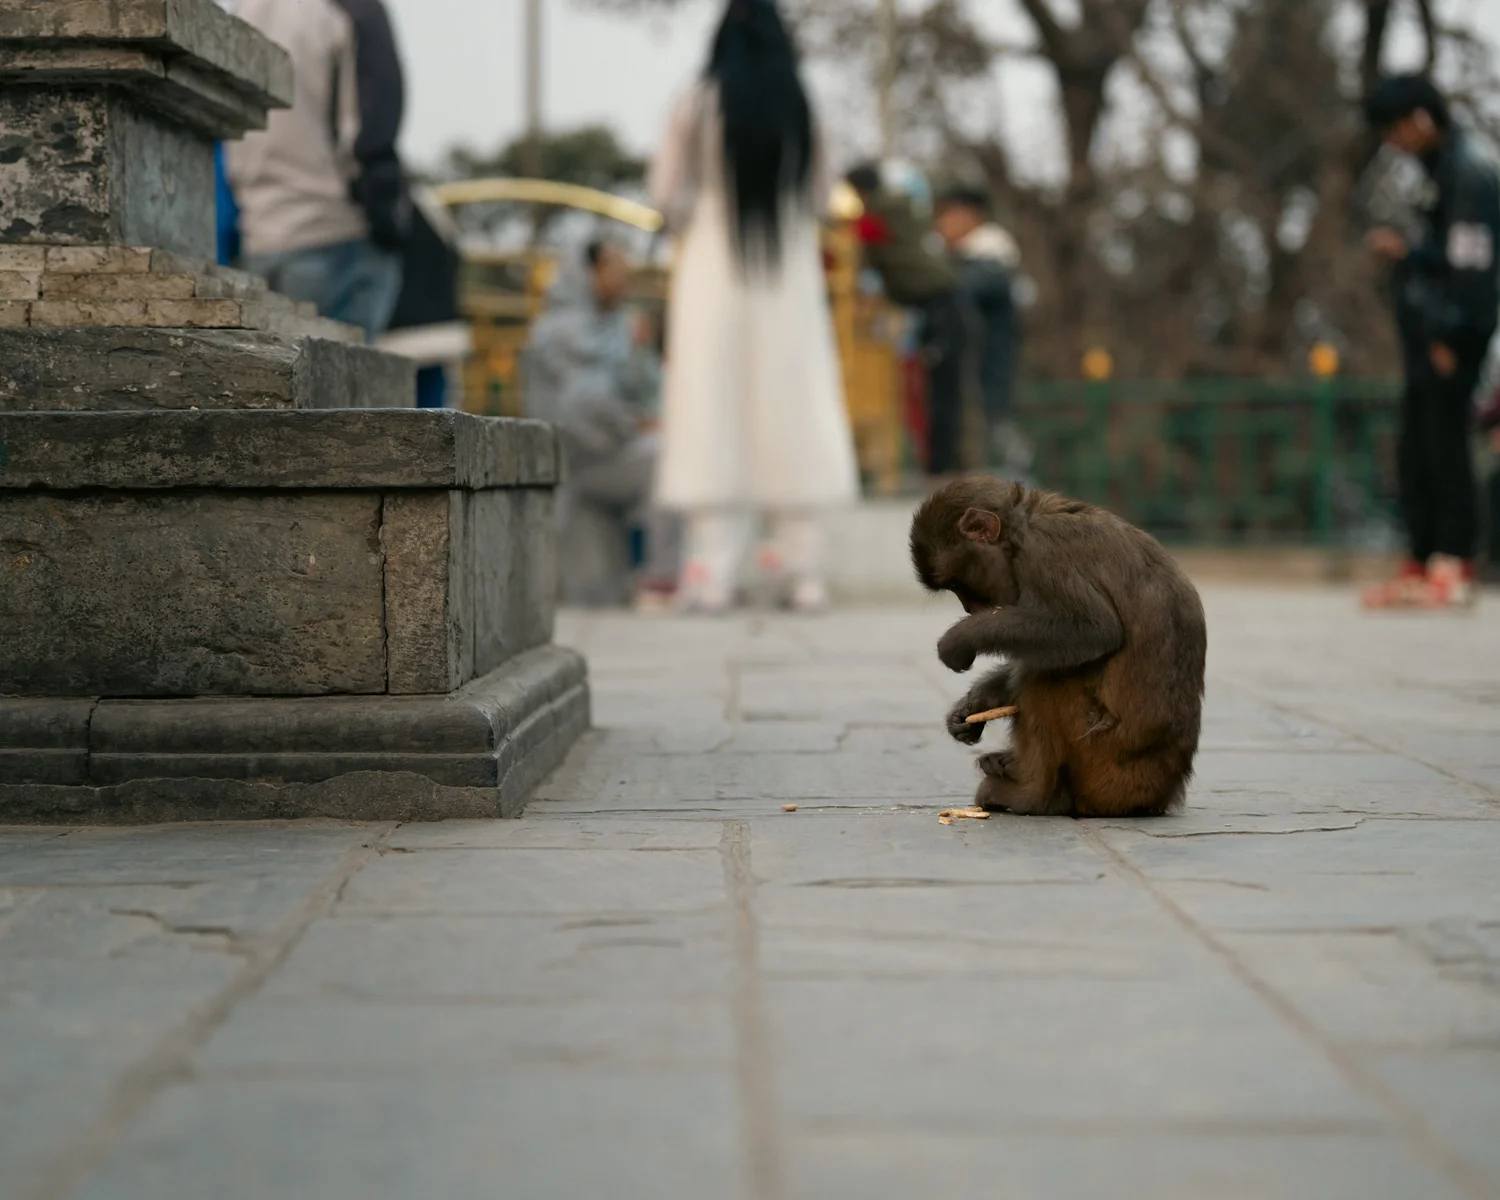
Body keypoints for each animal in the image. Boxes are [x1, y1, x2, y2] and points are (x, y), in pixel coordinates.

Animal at [910, 477, 1206, 817]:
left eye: (957, 584)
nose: (970, 609)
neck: (1021, 528)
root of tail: (1158, 796)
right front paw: (974, 706)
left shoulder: (1043, 553)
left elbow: (1092, 629)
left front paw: (962, 638)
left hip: (1102, 762)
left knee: (1048, 676)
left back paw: (1036, 795)